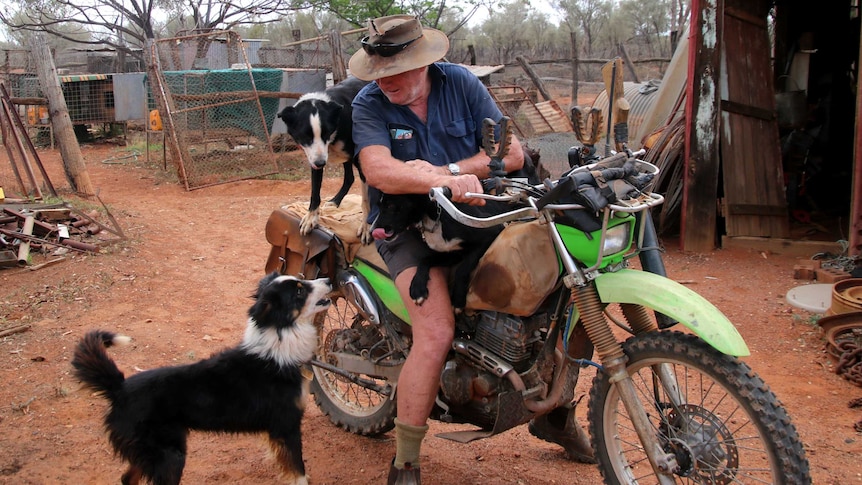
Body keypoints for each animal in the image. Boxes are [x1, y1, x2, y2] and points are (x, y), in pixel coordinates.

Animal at [71, 272, 332, 484]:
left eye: (302, 279)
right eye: (299, 291)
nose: (330, 280)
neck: (280, 338)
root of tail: (119, 388)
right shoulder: (286, 426)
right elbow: (298, 469)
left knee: (127, 478)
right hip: (170, 457)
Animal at [276, 77, 372, 244]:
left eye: (326, 133)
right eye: (305, 136)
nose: (321, 163)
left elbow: (366, 200)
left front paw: (366, 226)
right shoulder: (314, 159)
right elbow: (315, 192)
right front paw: (311, 218)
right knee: (349, 177)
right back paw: (335, 201)